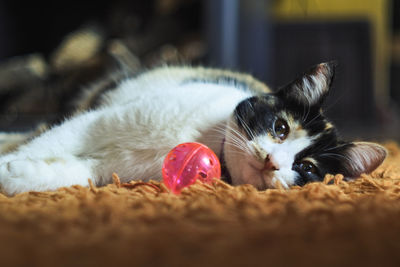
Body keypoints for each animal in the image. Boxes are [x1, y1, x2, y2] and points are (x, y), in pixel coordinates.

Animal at [0, 62, 390, 197]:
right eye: (280, 127)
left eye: (307, 169)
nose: (272, 161)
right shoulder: (101, 121)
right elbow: (61, 136)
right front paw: (10, 164)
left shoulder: (111, 168)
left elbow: (81, 173)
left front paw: (17, 176)